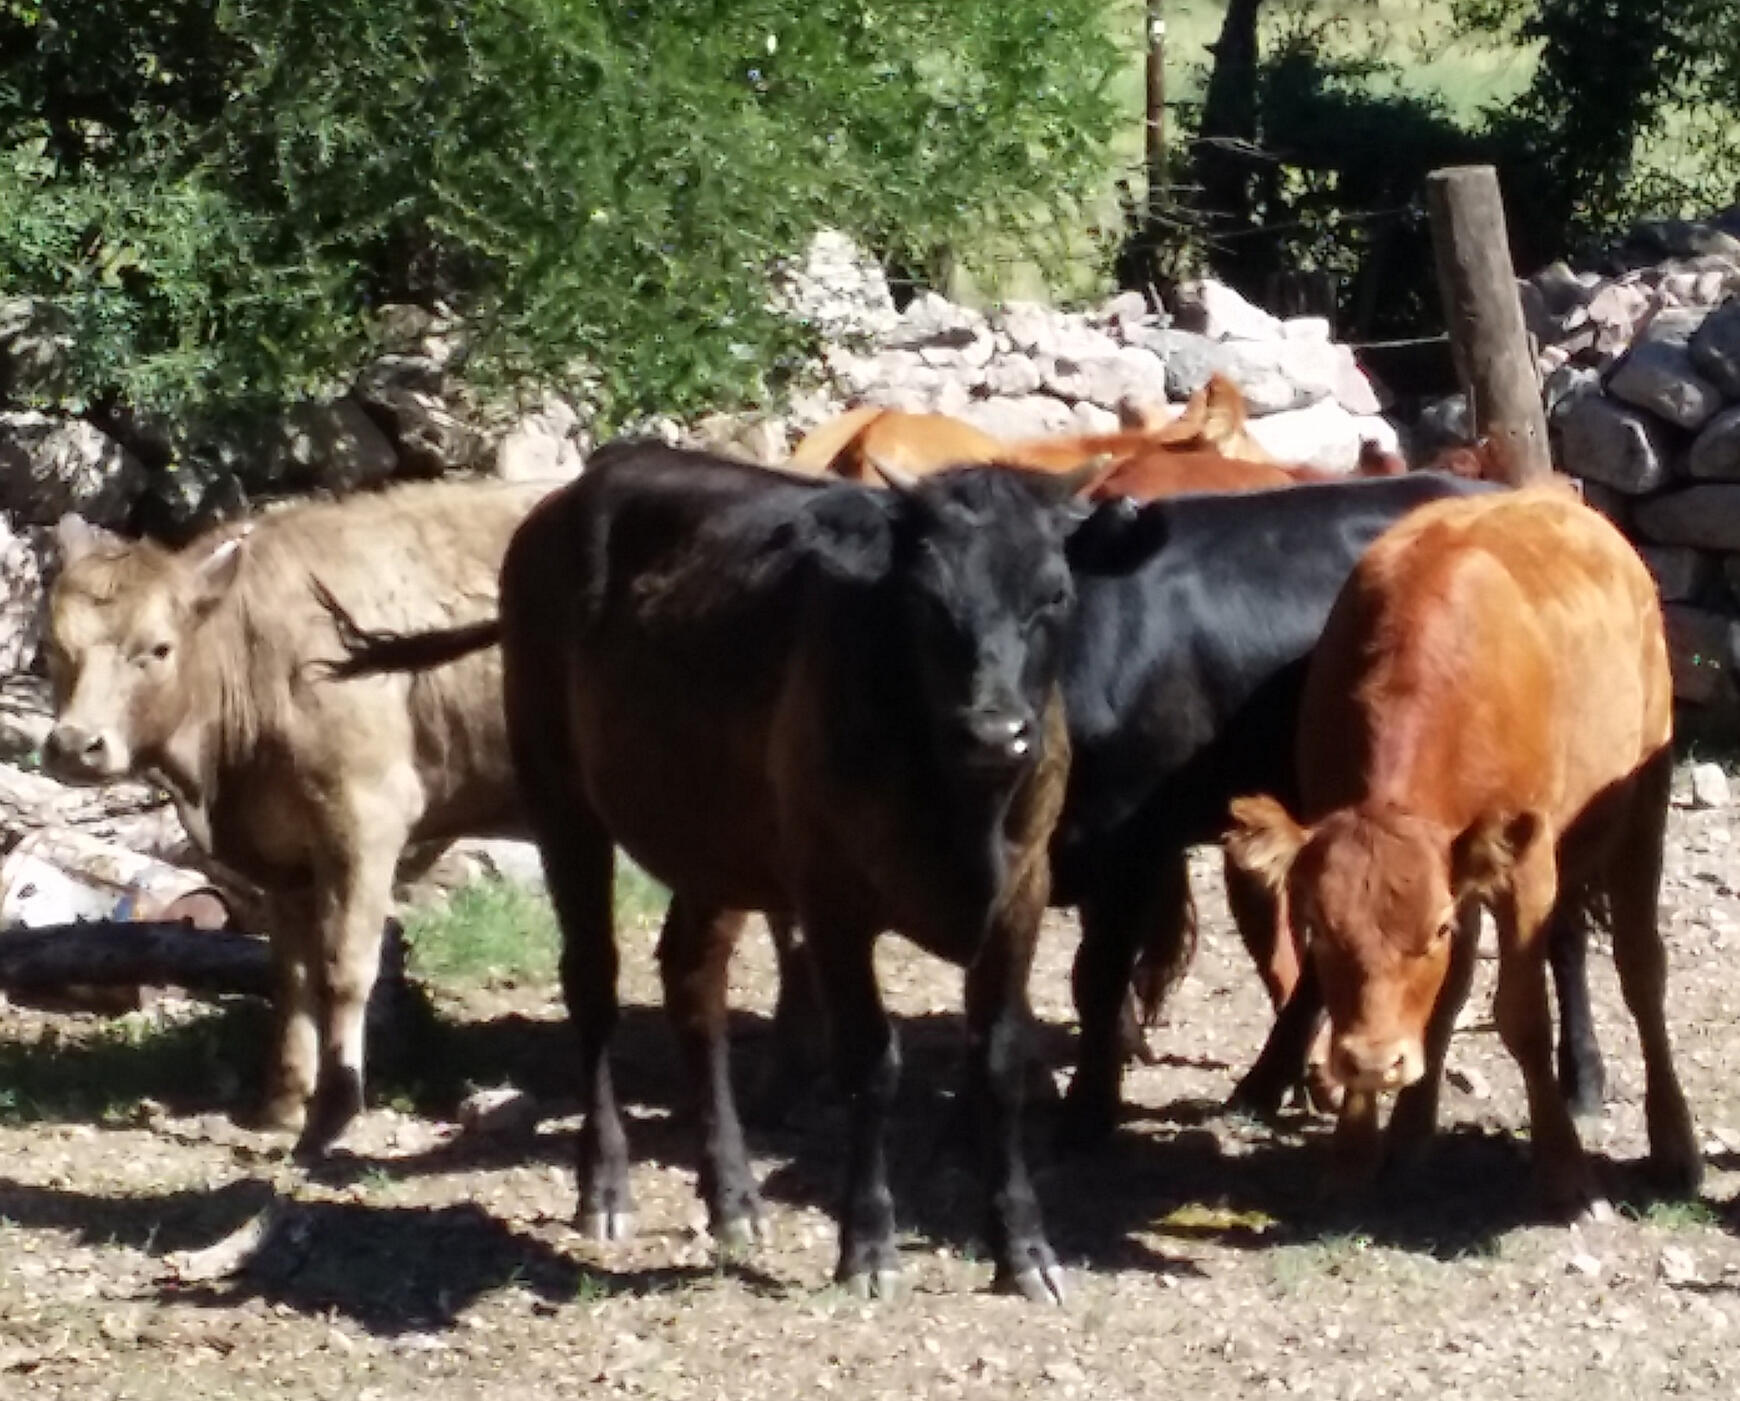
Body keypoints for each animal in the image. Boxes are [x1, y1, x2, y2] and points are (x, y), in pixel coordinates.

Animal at [42, 476, 556, 1155]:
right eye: (55, 648)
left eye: (157, 648)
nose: (76, 746)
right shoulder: (281, 854)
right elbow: (291, 975)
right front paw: (283, 1103)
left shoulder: (364, 820)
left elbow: (343, 968)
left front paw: (333, 1113)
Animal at [1224, 487, 1698, 1211]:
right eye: (1318, 929)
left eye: (1434, 930)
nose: (1373, 1061)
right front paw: (1353, 1158)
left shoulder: (1527, 865)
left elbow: (1524, 1015)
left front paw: (1565, 1171)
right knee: (1456, 991)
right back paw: (1411, 1131)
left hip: (1644, 797)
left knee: (1642, 967)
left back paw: (1674, 1143)